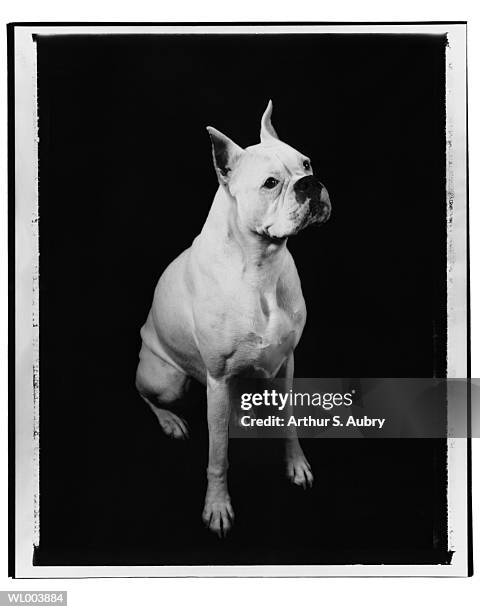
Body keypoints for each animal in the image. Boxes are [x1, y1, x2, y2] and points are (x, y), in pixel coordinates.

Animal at [135, 100, 330, 536]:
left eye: (307, 164)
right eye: (271, 183)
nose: (310, 184)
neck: (260, 265)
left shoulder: (286, 363)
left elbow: (289, 421)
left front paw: (296, 465)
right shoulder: (218, 380)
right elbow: (218, 455)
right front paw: (217, 506)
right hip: (167, 379)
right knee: (144, 394)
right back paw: (171, 421)